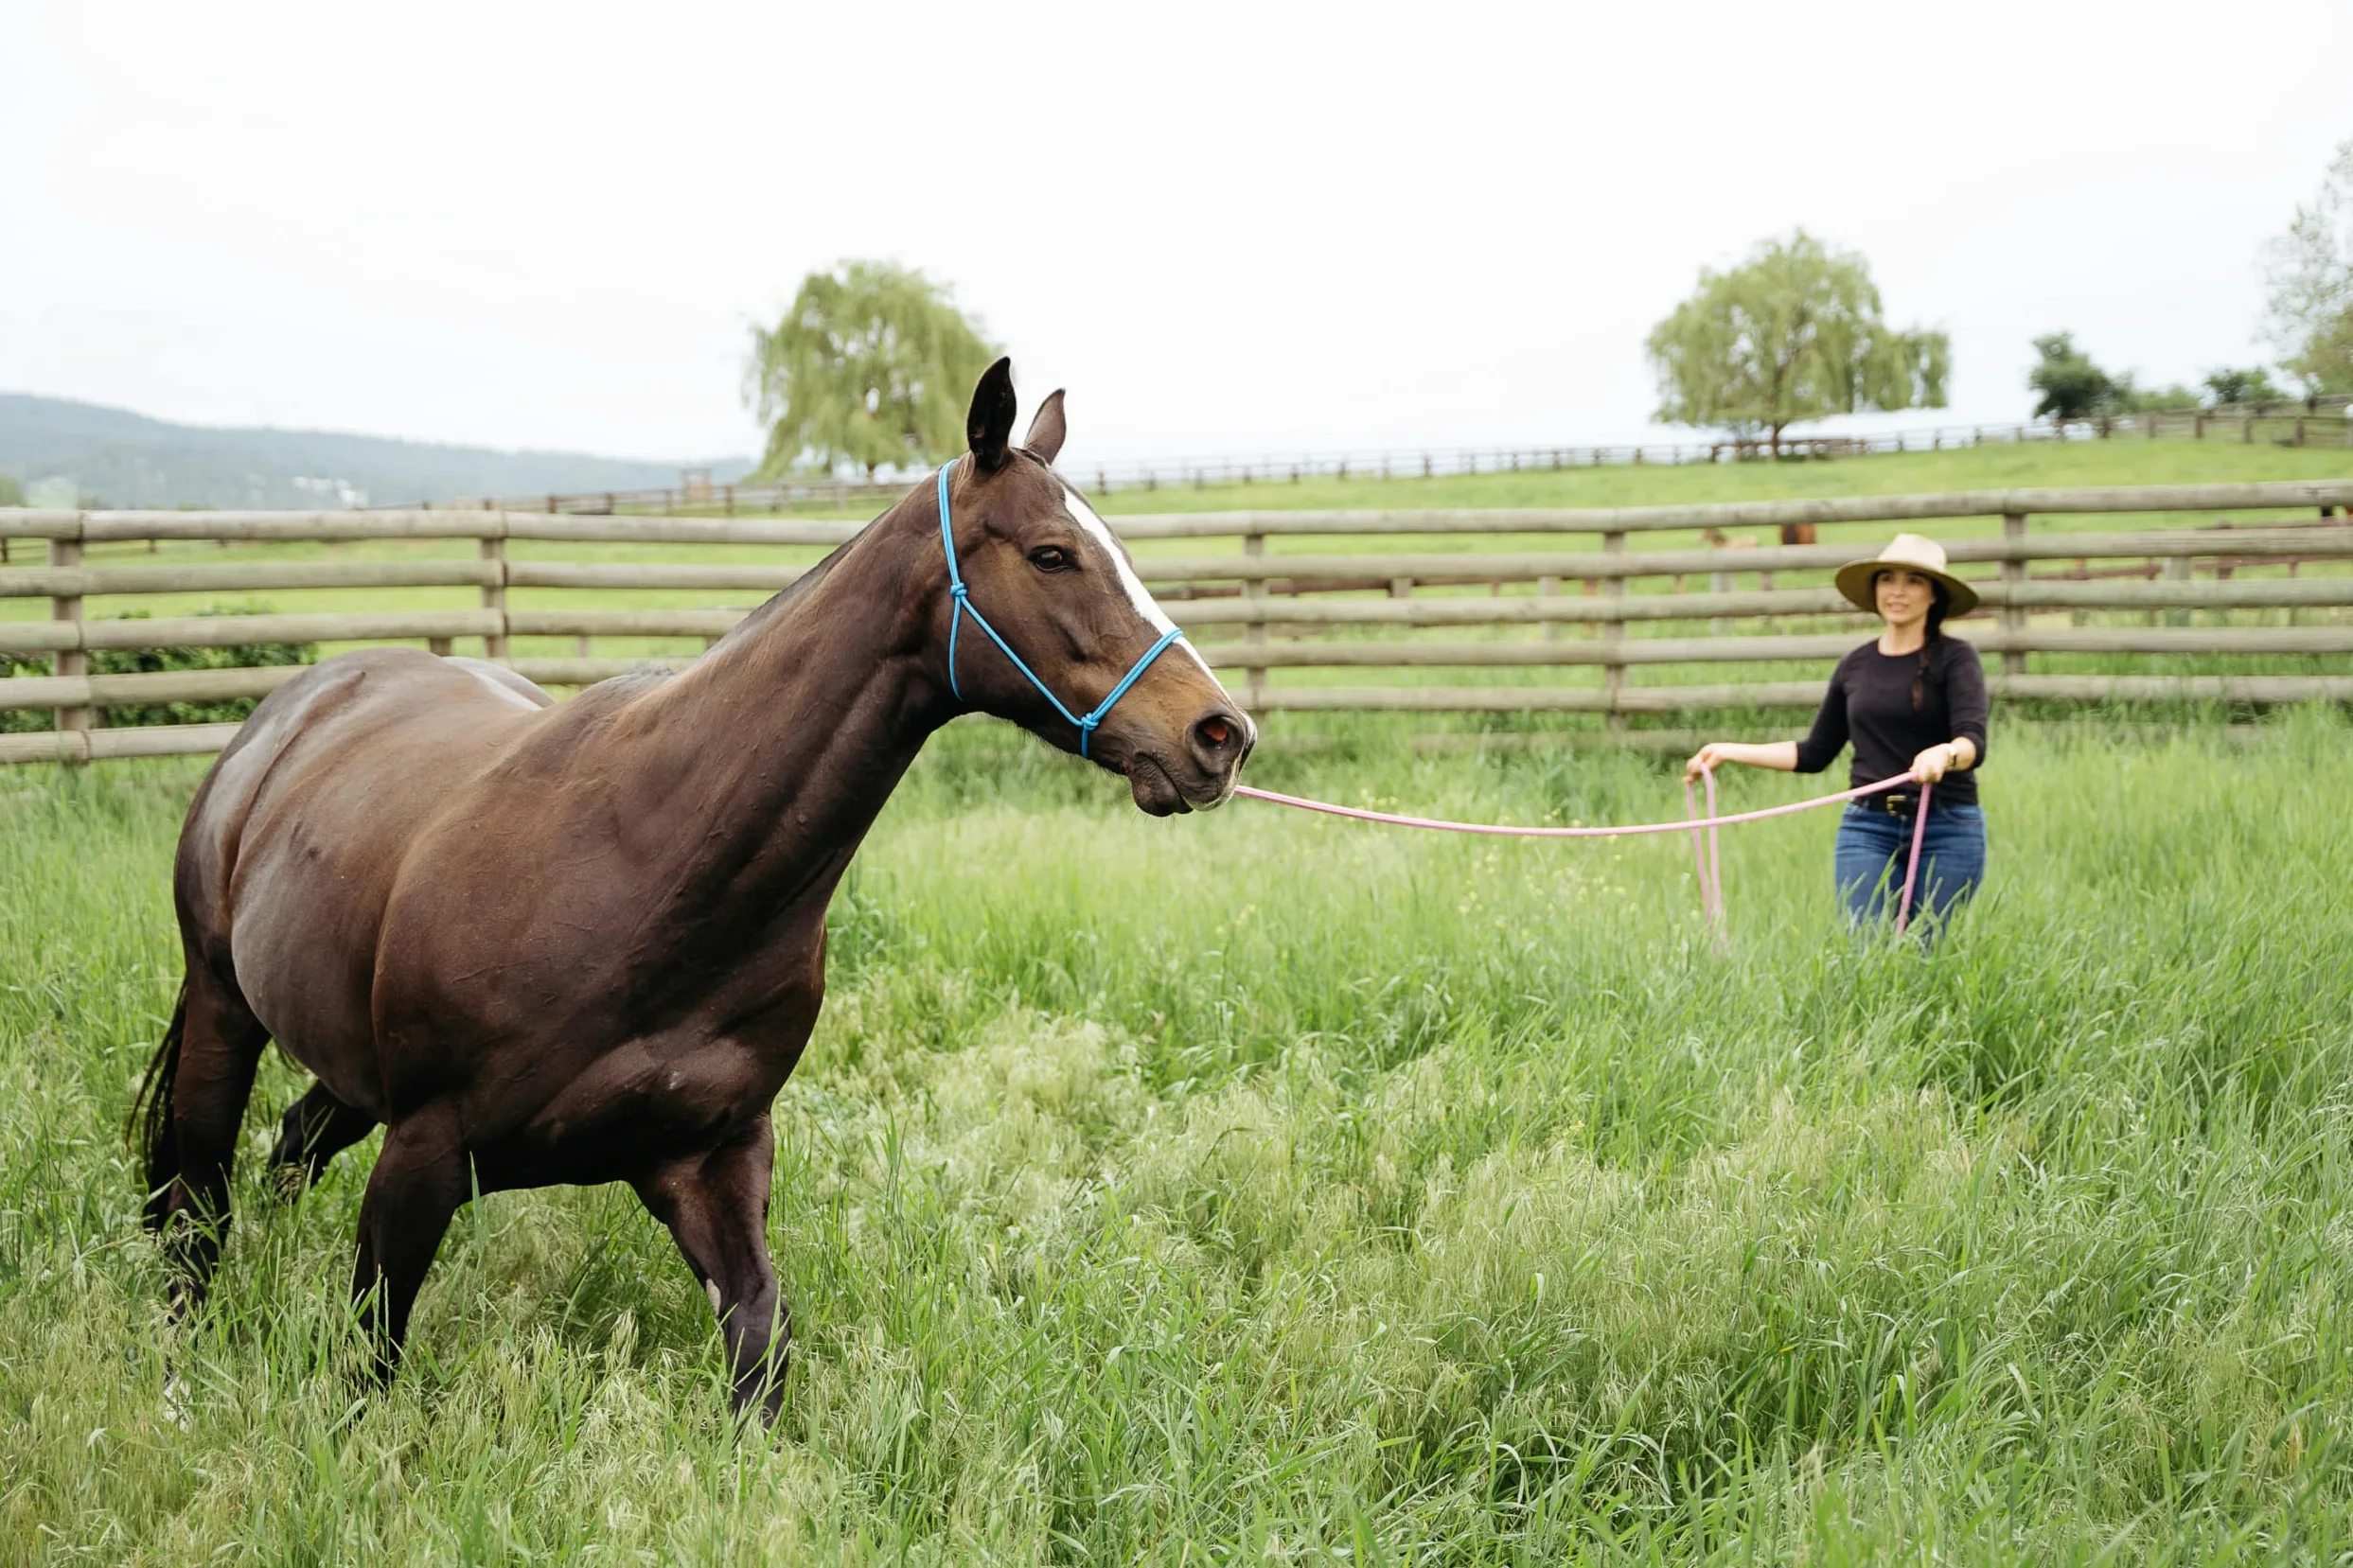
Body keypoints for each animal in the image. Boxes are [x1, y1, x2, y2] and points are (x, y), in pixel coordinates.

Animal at [132, 359, 1254, 1420]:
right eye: (1052, 553)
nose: (1218, 733)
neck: (646, 863)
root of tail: (291, 711)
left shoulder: (709, 1158)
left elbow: (761, 1342)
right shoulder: (424, 1152)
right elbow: (371, 1355)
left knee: (288, 1146)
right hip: (226, 1014)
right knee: (197, 1211)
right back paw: (179, 1379)